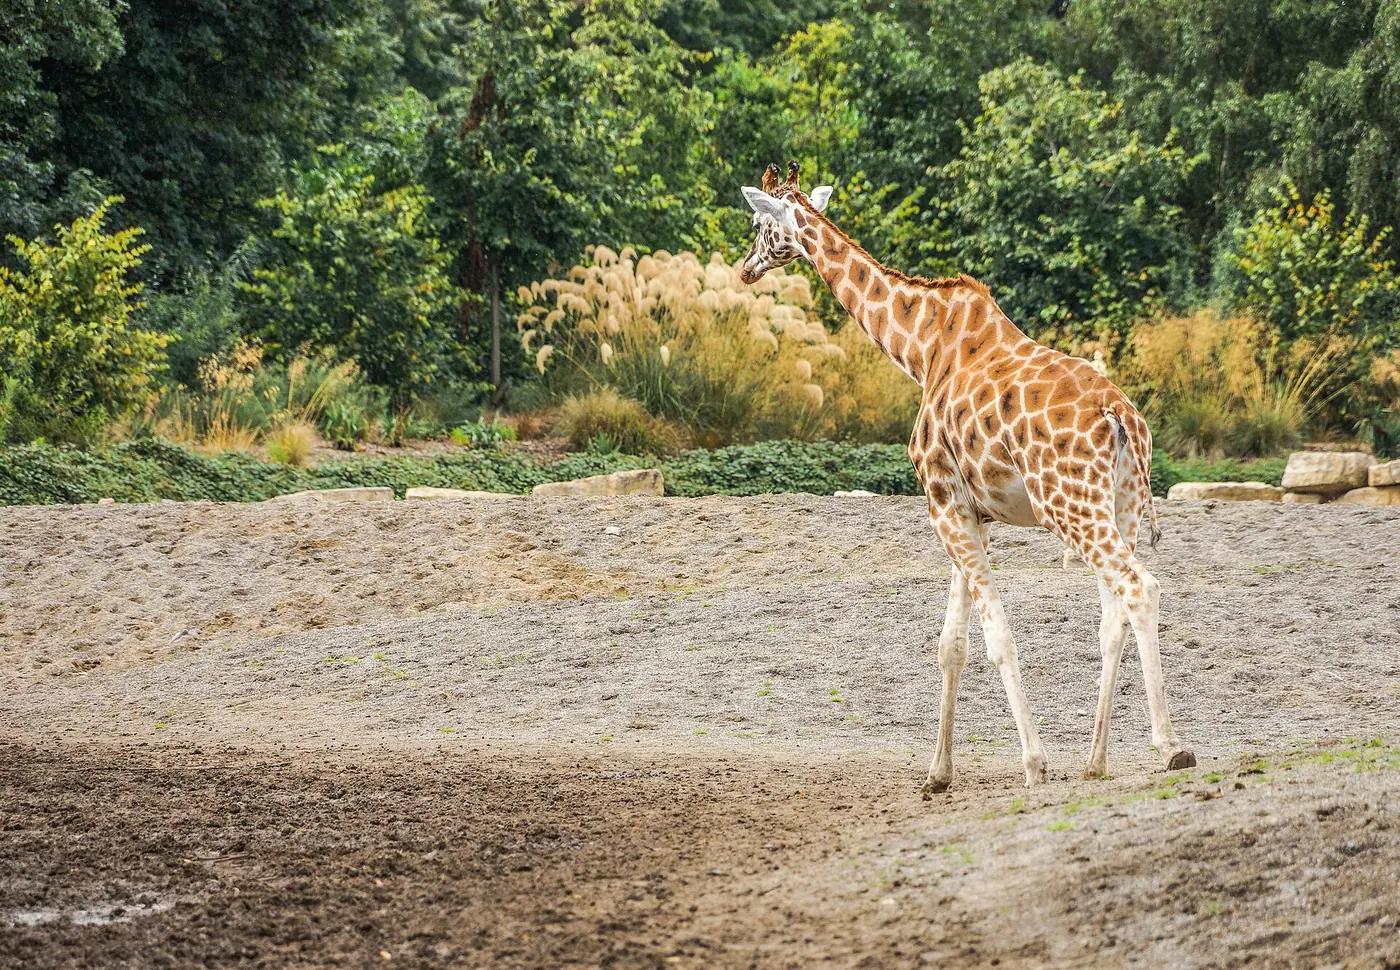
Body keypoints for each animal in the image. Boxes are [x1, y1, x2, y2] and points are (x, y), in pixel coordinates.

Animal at [739, 162, 1194, 791]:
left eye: (760, 224)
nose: (745, 267)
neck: (920, 349)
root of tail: (1120, 416)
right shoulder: (967, 509)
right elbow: (951, 644)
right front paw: (938, 772)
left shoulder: (941, 502)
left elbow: (996, 636)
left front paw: (1033, 763)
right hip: (1118, 503)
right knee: (1113, 617)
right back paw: (1096, 760)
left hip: (1069, 503)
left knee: (1138, 588)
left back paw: (1170, 746)